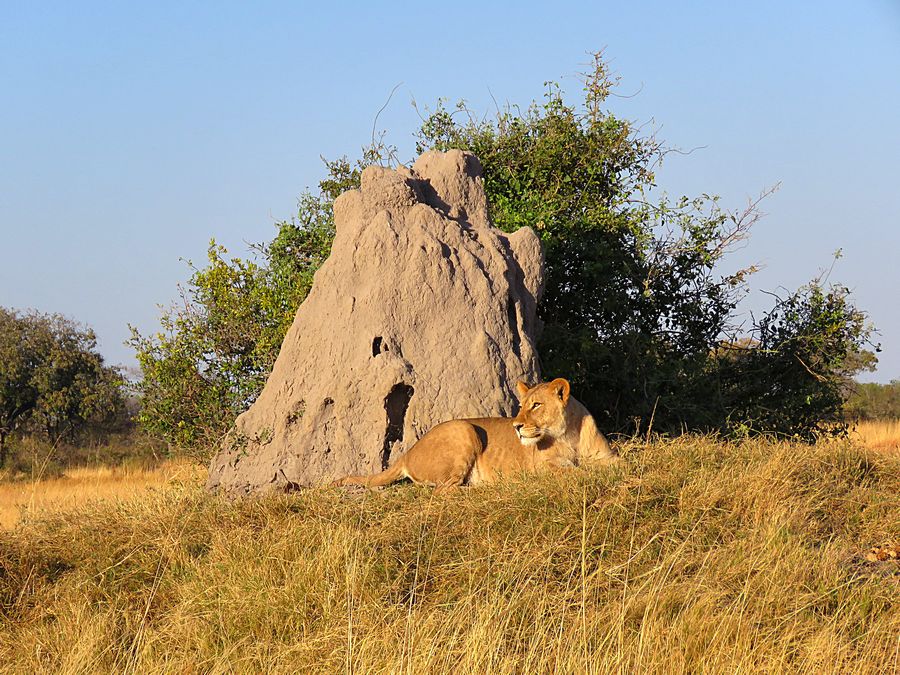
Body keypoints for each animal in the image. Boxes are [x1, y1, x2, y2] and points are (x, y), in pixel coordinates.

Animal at [330, 374, 620, 492]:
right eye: (521, 407)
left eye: (536, 405)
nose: (516, 426)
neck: (569, 435)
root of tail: (407, 453)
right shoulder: (544, 468)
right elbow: (573, 472)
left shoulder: (607, 457)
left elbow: (616, 464)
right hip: (464, 429)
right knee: (443, 491)